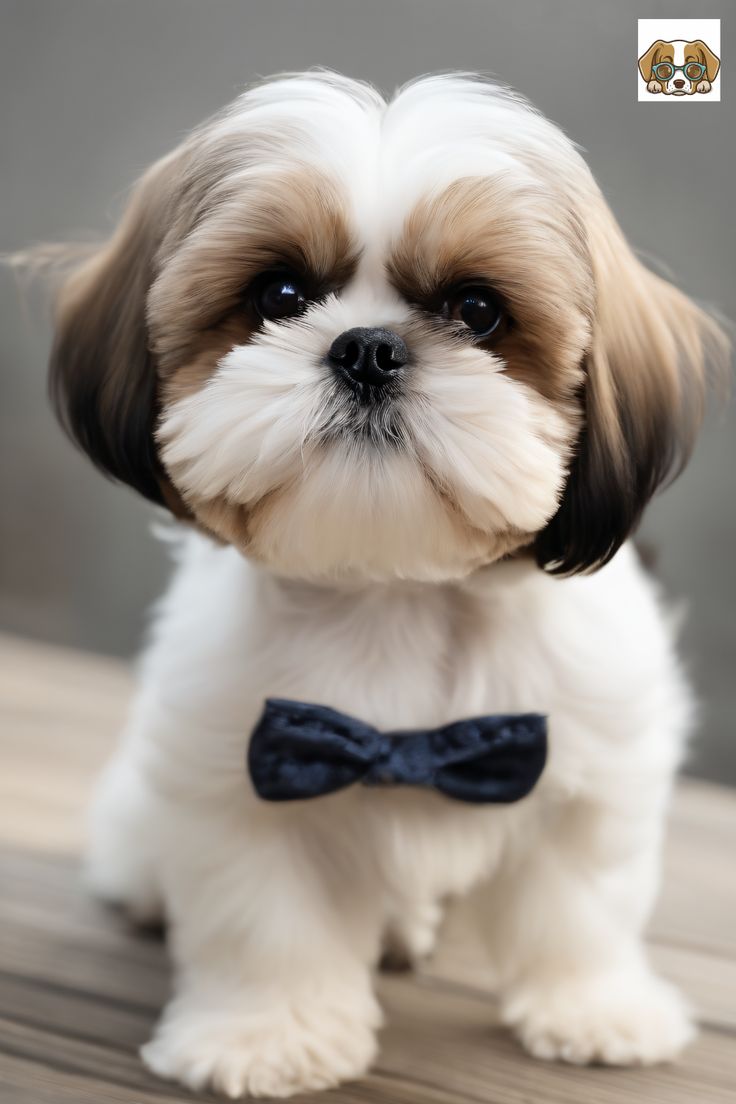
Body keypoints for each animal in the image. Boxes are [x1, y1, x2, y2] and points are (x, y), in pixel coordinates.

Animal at [30, 73, 732, 1099]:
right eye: (280, 293)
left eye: (477, 309)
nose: (366, 347)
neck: (395, 592)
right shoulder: (245, 772)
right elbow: (265, 923)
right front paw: (266, 1034)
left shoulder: (587, 762)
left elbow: (580, 905)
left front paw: (596, 1008)